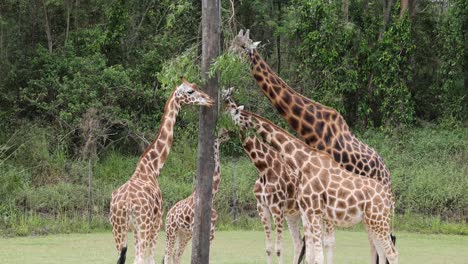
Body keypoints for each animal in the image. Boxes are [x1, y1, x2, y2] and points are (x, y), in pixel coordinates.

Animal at [109, 78, 213, 264]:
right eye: (190, 91)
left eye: (195, 86)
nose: (209, 100)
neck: (151, 168)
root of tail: (125, 203)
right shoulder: (156, 223)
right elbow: (151, 258)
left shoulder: (136, 229)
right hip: (143, 225)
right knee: (140, 257)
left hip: (118, 228)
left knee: (123, 257)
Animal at [164, 129, 231, 262]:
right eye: (221, 134)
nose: (228, 135)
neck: (212, 196)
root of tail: (168, 213)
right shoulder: (198, 229)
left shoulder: (211, 232)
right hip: (171, 231)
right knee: (167, 254)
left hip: (183, 233)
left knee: (176, 254)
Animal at [239, 132, 302, 264]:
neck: (264, 169)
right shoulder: (261, 207)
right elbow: (268, 248)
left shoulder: (276, 208)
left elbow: (279, 249)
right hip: (293, 215)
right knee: (299, 242)